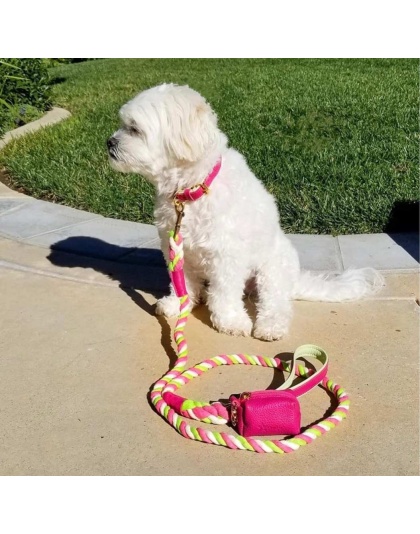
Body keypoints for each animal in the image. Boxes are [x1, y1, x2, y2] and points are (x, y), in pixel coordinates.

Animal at [108, 85, 384, 342]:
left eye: (134, 129)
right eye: (123, 124)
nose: (109, 142)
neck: (193, 190)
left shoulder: (227, 255)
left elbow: (225, 294)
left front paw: (230, 321)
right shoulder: (175, 247)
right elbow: (182, 283)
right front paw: (178, 303)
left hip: (273, 270)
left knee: (276, 303)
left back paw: (270, 326)